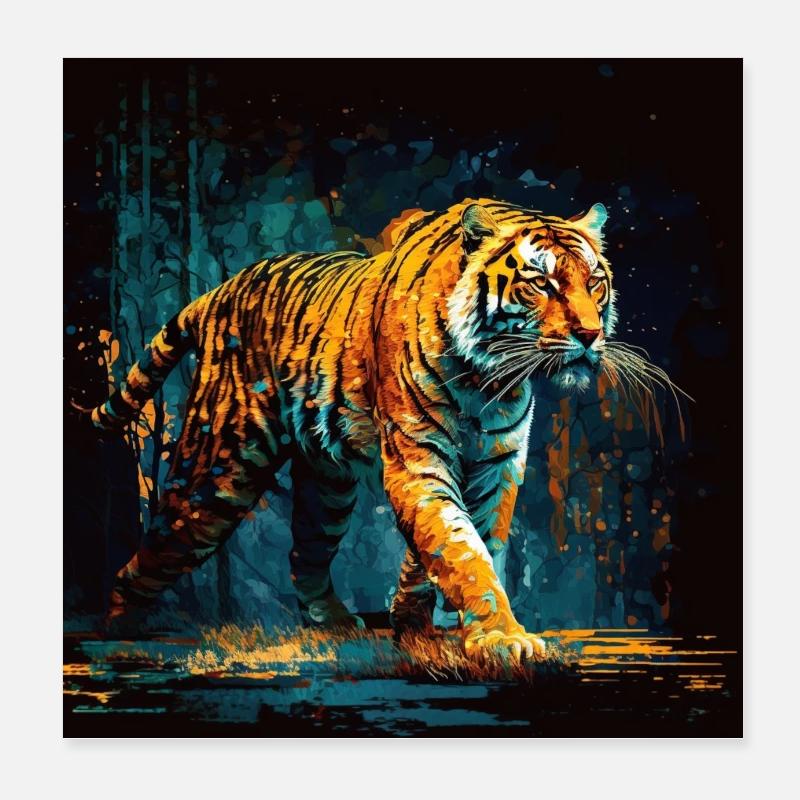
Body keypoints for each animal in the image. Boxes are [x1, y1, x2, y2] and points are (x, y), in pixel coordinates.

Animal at [91, 197, 637, 662]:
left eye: (594, 282)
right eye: (541, 284)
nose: (590, 335)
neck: (490, 381)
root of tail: (221, 289)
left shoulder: (496, 467)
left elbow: (467, 542)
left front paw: (421, 620)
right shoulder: (419, 460)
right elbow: (463, 549)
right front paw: (501, 637)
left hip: (326, 489)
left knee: (304, 552)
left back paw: (332, 620)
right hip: (217, 475)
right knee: (155, 546)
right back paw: (117, 625)